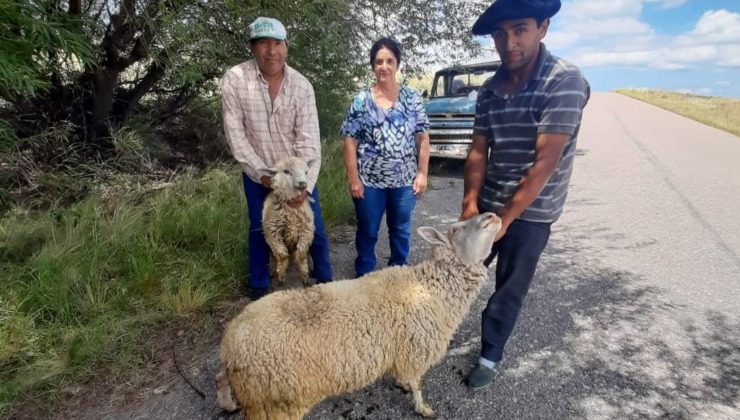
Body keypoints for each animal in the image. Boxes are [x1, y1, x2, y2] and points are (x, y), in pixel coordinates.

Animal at [215, 213, 502, 420]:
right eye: (456, 230)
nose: (492, 216)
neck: (431, 288)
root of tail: (231, 344)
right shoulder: (415, 350)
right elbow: (417, 384)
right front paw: (423, 408)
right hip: (277, 401)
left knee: (219, 380)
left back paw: (227, 404)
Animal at [262, 156, 314, 288]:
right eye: (286, 171)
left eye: (306, 172)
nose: (303, 184)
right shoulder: (273, 233)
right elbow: (281, 255)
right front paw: (280, 277)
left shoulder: (306, 231)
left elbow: (301, 254)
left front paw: (305, 277)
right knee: (274, 256)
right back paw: (272, 268)